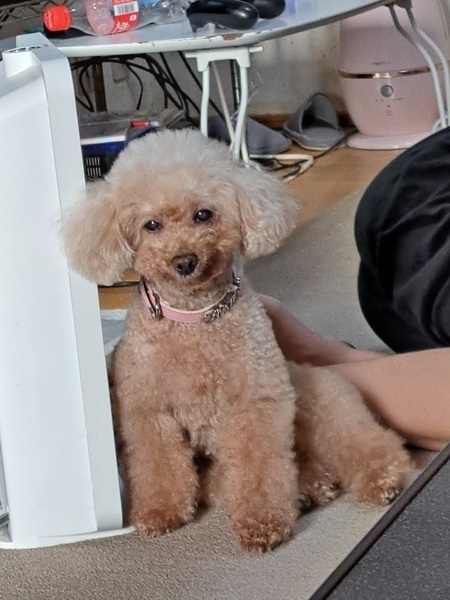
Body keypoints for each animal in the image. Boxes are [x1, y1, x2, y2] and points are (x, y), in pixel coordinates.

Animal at [63, 128, 412, 552]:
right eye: (151, 225)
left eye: (203, 214)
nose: (184, 261)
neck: (194, 318)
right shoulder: (148, 410)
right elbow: (159, 465)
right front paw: (160, 512)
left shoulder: (255, 402)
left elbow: (258, 467)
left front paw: (263, 522)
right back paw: (311, 487)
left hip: (317, 401)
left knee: (360, 442)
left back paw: (379, 478)